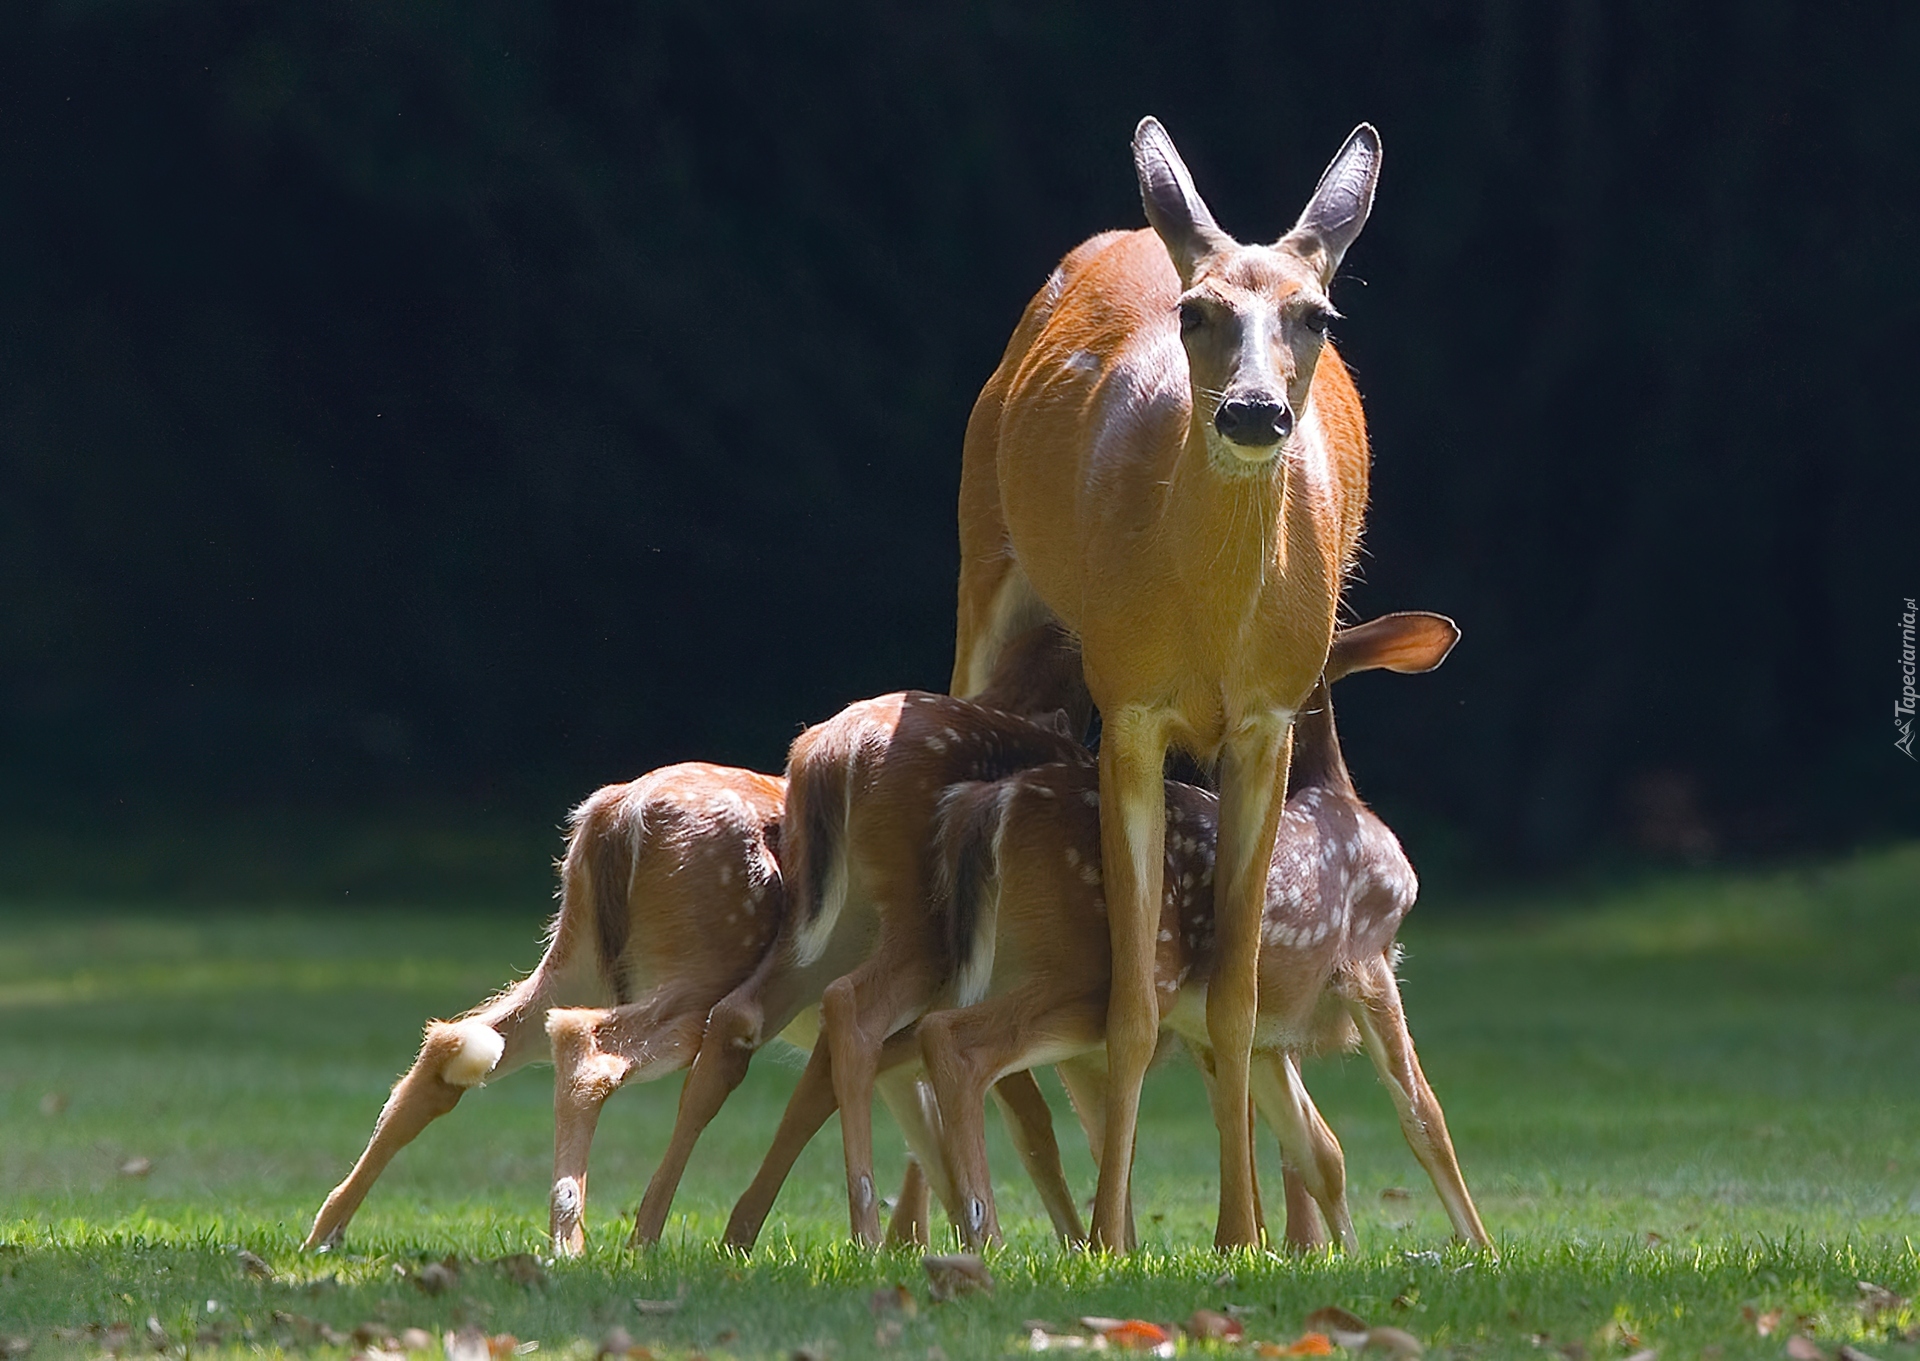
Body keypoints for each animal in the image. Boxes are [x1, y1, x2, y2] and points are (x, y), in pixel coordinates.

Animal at [913, 610, 1482, 1243]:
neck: (1340, 796)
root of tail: (987, 807)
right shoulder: (1368, 956)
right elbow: (1425, 1121)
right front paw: (1481, 1249)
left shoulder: (1259, 1033)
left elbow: (1317, 1149)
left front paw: (1341, 1253)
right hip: (1087, 975)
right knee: (955, 1041)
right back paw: (985, 1230)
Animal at [956, 116, 1382, 1243]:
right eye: (1197, 312)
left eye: (1318, 315)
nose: (1253, 412)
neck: (1208, 625)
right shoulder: (1130, 705)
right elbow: (1132, 1004)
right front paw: (1112, 1233)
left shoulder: (1270, 717)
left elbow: (1235, 994)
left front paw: (1244, 1234)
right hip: (983, 566)